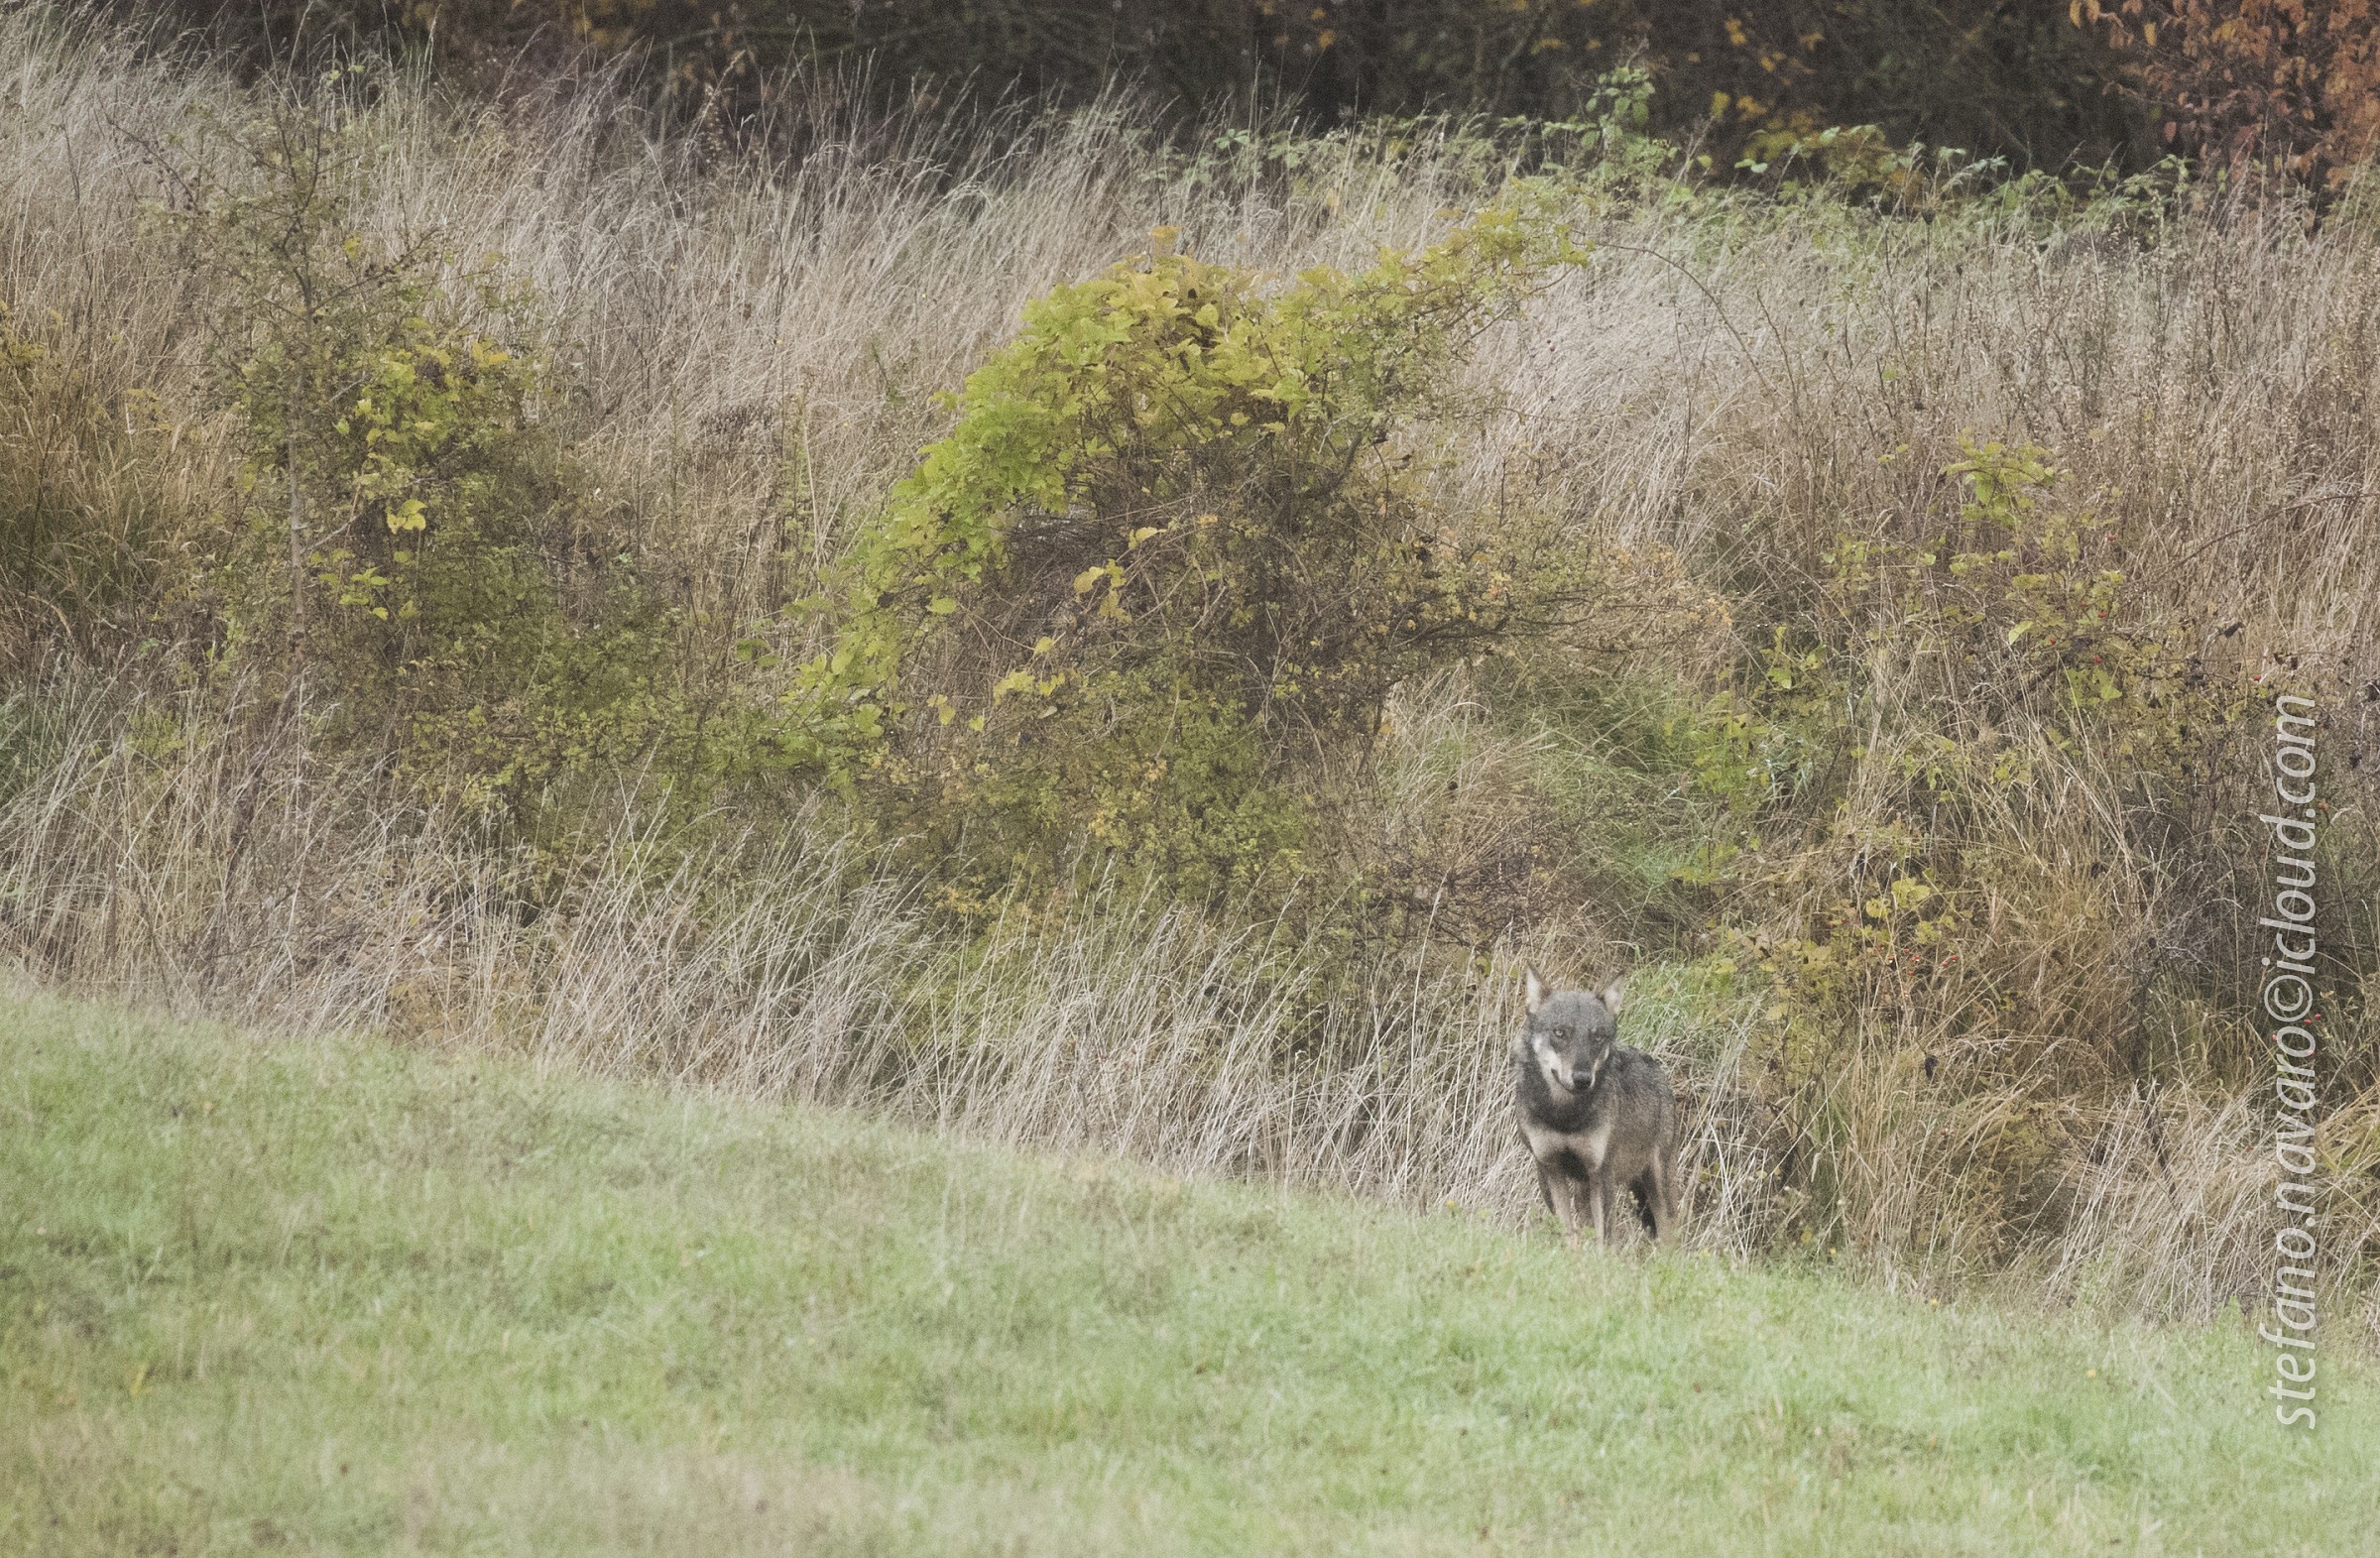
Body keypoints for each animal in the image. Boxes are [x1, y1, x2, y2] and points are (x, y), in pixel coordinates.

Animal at [1512, 969, 1679, 1244]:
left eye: (1597, 1036)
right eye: (1560, 1032)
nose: (1582, 1079)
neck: (1565, 1116)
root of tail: (1655, 1066)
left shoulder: (1602, 1173)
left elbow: (1606, 1240)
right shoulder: (1549, 1169)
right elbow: (1567, 1234)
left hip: (1658, 1188)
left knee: (1671, 1239)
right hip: (1584, 1189)